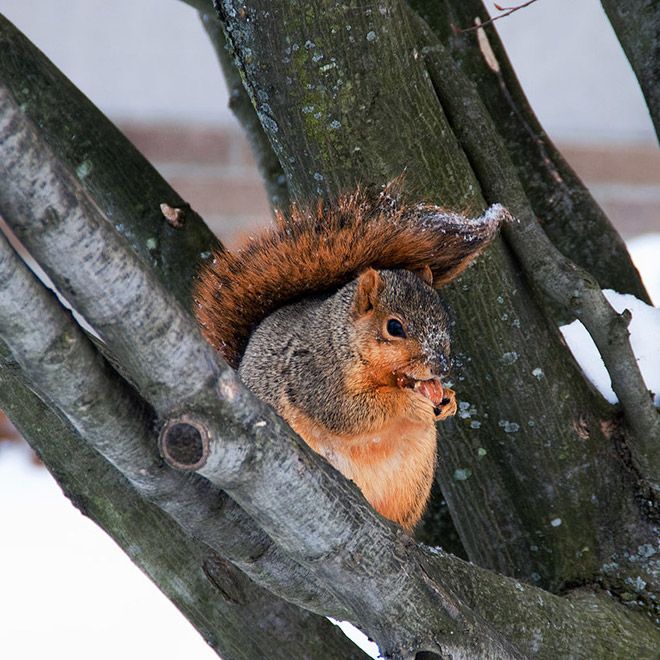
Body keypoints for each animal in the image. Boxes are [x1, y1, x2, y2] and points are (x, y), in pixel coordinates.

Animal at [192, 186, 506, 532]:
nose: (442, 366)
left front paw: (448, 399)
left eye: (443, 316)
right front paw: (409, 403)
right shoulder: (314, 376)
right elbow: (347, 411)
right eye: (394, 327)